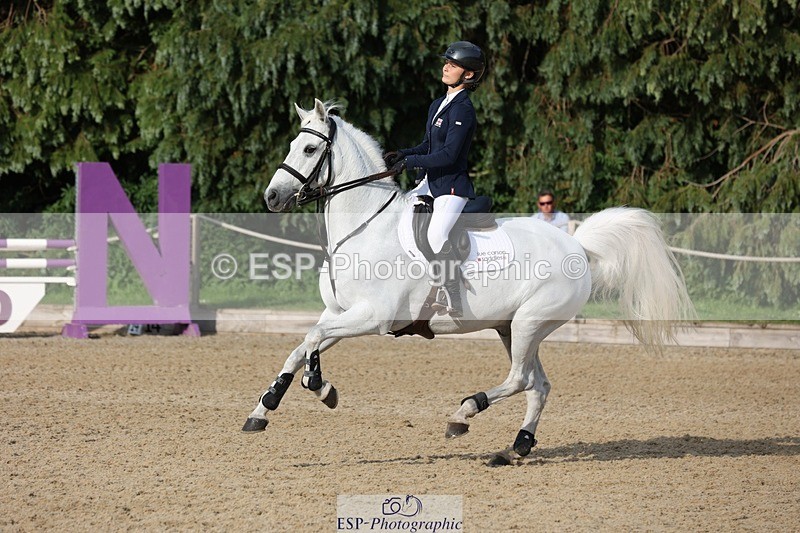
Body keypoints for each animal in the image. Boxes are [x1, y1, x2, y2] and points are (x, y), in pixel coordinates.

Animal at [243, 98, 694, 465]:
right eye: (292, 145)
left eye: (310, 149)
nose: (271, 198)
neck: (366, 226)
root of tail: (577, 245)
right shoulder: (340, 311)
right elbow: (302, 346)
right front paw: (265, 408)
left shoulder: (373, 317)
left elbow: (313, 341)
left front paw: (319, 386)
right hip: (512, 327)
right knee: (539, 385)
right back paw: (516, 447)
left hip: (530, 322)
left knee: (520, 379)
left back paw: (464, 414)